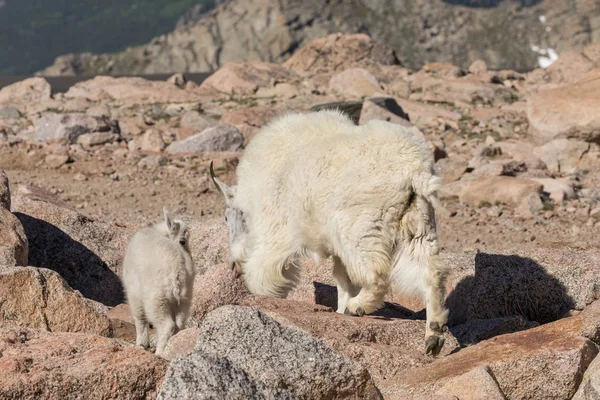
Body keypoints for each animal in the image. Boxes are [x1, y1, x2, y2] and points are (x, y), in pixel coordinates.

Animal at [122, 208, 195, 354]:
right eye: (184, 241)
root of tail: (177, 272)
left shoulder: (133, 290)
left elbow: (139, 317)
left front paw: (141, 343)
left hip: (156, 297)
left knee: (166, 325)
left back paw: (159, 352)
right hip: (185, 297)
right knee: (180, 323)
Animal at [211, 109, 450, 354]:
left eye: (228, 217)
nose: (233, 266)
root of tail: (415, 170)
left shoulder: (277, 232)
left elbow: (264, 275)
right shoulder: (335, 249)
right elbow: (342, 279)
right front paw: (339, 310)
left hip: (361, 227)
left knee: (377, 275)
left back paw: (358, 307)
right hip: (418, 223)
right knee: (431, 274)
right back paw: (434, 335)